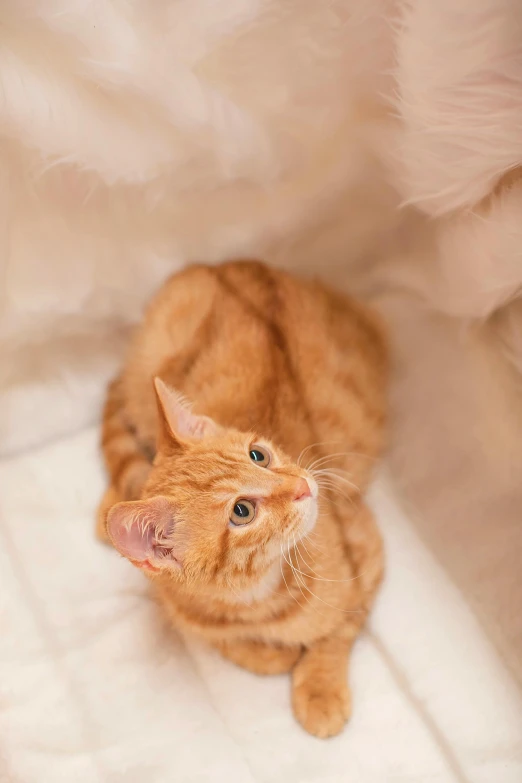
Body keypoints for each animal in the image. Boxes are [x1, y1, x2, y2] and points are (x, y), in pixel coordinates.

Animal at [97, 260, 384, 740]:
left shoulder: (364, 542)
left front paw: (320, 687)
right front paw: (271, 654)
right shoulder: (182, 611)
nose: (302, 485)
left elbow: (340, 625)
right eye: (242, 511)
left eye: (258, 455)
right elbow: (222, 640)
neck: (257, 598)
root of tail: (221, 266)